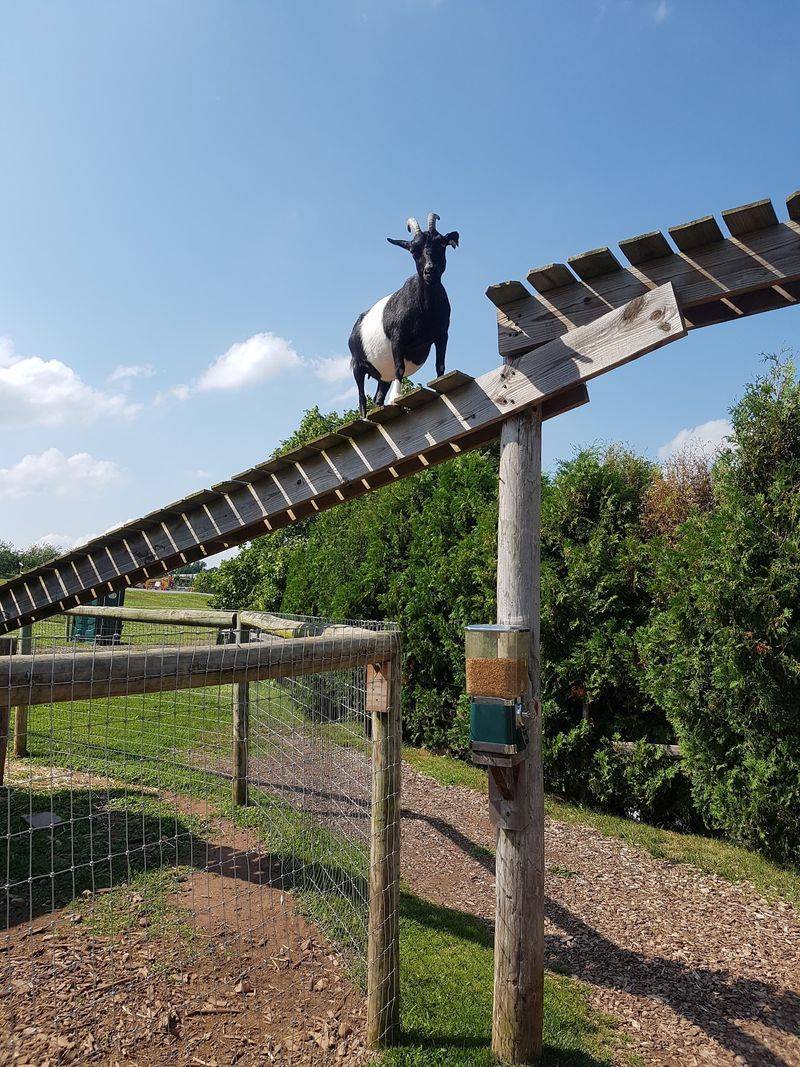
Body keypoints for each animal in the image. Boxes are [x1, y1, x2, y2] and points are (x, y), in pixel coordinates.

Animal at [349, 213, 459, 417]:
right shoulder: (397, 339)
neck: (424, 309)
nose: (430, 270)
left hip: (382, 377)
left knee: (377, 396)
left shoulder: (442, 334)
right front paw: (396, 398)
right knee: (361, 397)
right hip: (357, 364)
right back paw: (365, 416)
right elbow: (400, 369)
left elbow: (440, 364)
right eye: (413, 250)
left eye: (441, 243)